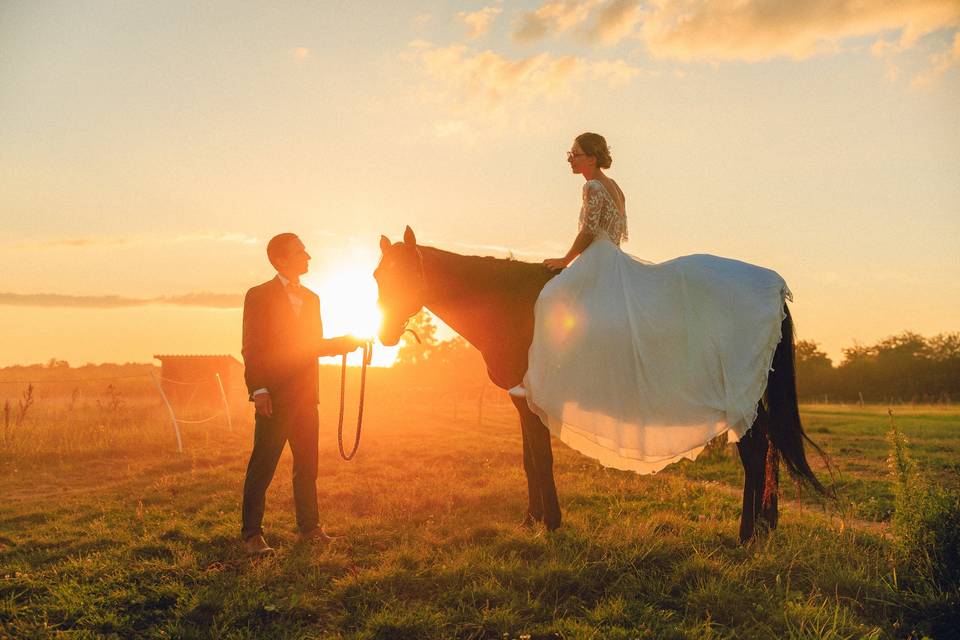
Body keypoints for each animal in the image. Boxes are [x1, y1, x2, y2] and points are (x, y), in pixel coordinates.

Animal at [372, 228, 828, 544]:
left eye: (405, 273)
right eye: (378, 275)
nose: (386, 336)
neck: (511, 302)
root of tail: (773, 287)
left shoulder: (531, 398)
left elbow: (542, 459)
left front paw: (551, 523)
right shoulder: (521, 400)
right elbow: (528, 459)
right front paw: (531, 519)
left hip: (736, 393)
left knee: (755, 450)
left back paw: (747, 534)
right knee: (768, 445)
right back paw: (767, 526)